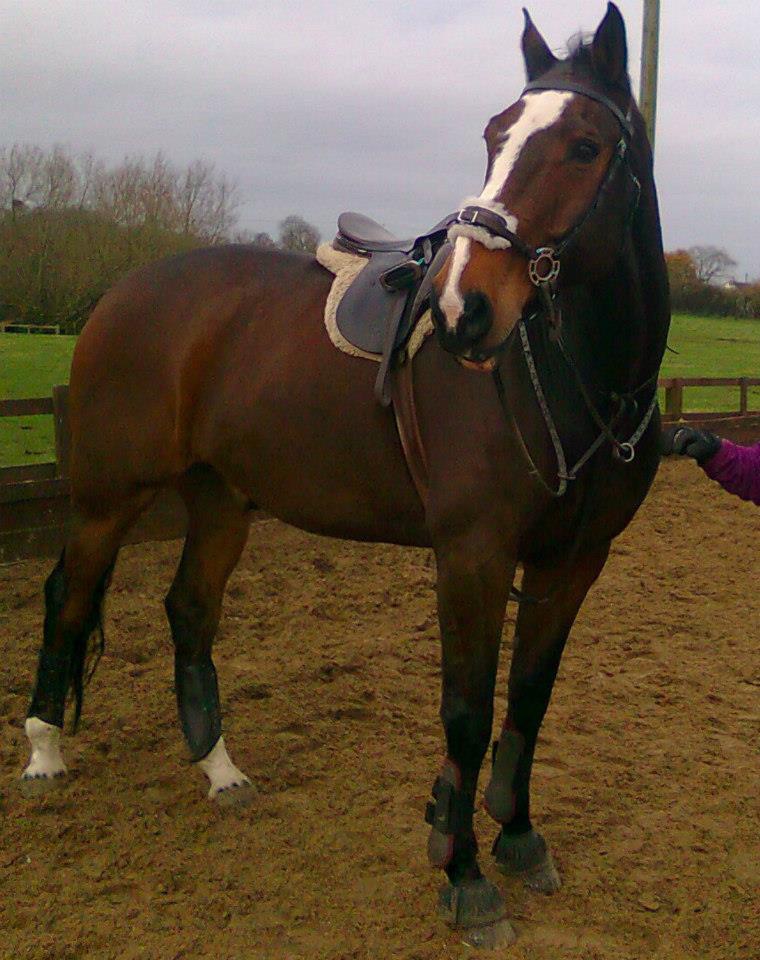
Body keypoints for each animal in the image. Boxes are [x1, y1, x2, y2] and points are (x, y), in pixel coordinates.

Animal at [20, 3, 669, 945]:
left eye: (585, 146)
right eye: (494, 135)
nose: (465, 311)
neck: (577, 372)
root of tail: (124, 292)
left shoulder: (573, 561)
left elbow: (529, 697)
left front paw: (517, 836)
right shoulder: (472, 557)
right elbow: (468, 713)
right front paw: (464, 877)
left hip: (222, 498)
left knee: (188, 608)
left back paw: (219, 769)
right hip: (110, 497)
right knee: (69, 593)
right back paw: (42, 750)